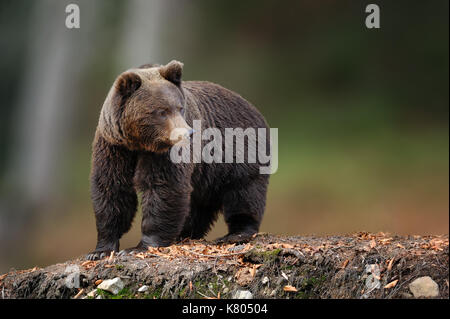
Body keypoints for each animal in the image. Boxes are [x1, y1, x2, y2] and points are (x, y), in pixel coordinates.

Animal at [87, 61, 270, 262]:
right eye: (161, 111)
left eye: (180, 107)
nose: (188, 133)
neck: (140, 143)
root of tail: (253, 107)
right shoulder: (114, 146)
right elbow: (112, 188)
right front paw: (101, 250)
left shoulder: (166, 153)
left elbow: (163, 186)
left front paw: (140, 246)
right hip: (206, 173)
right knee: (198, 202)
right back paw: (185, 233)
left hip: (238, 151)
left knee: (244, 192)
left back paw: (237, 233)